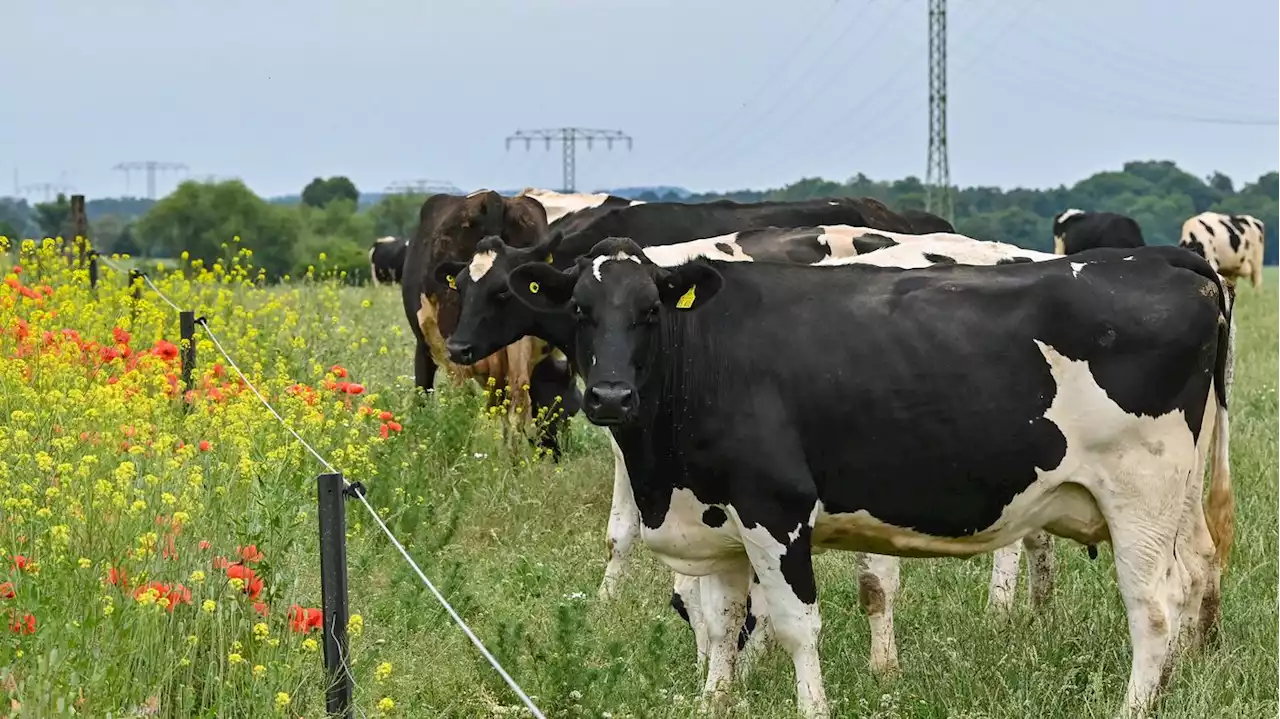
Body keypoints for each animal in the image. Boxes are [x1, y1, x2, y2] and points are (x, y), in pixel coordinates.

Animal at [512, 239, 1239, 716]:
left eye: (650, 312)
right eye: (578, 311)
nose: (609, 396)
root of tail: (1163, 258)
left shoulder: (775, 509)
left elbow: (795, 625)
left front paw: (813, 707)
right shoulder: (717, 527)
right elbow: (722, 628)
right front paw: (714, 702)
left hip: (1140, 494)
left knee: (1152, 606)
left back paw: (1137, 704)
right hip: (1176, 501)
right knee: (1195, 574)